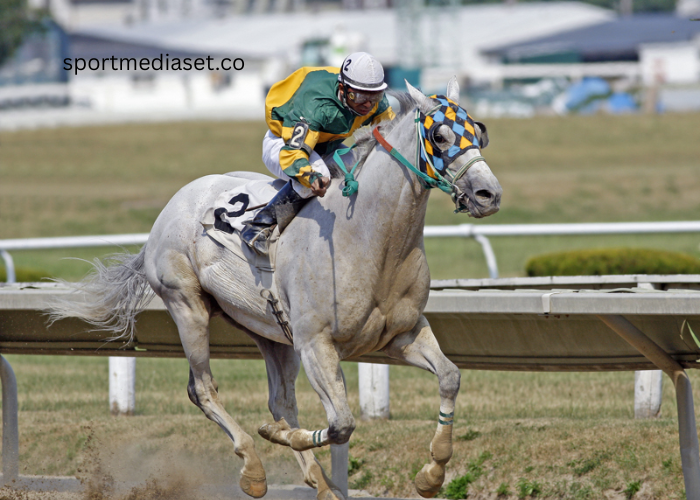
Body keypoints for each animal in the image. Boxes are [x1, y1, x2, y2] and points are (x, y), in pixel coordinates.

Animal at [48, 78, 502, 500]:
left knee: (279, 400)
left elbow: (450, 377)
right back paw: (253, 467)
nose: (489, 194)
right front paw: (277, 436)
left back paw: (320, 483)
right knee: (203, 389)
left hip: (268, 330)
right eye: (440, 136)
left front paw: (432, 474)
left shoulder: (401, 335)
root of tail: (170, 209)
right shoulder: (317, 343)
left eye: (480, 132)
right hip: (187, 305)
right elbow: (341, 424)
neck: (371, 238)